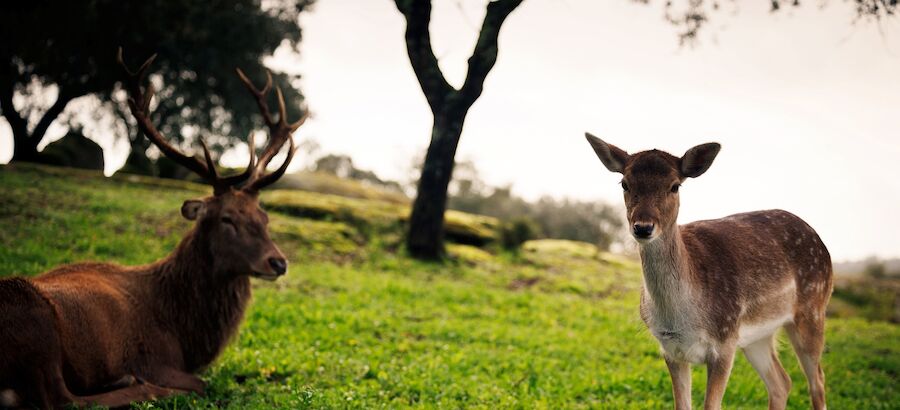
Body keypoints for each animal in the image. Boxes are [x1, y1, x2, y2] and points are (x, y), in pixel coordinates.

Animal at [0, 52, 306, 410]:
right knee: (63, 400)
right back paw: (134, 384)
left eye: (265, 217)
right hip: (34, 320)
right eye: (227, 219)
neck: (185, 333)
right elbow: (201, 383)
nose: (278, 262)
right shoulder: (155, 358)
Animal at [588, 133, 832, 408]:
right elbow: (682, 404)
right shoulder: (670, 349)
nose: (643, 227)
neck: (682, 318)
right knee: (782, 382)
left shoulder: (724, 343)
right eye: (624, 183)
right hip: (757, 336)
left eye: (675, 186)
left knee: (818, 381)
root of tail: (819, 239)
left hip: (813, 310)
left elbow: (711, 404)